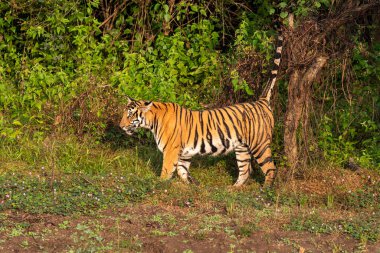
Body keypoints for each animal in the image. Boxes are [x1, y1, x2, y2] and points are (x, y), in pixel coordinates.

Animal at [119, 34, 282, 187]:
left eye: (130, 115)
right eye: (124, 114)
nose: (120, 126)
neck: (152, 121)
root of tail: (261, 101)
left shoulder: (171, 150)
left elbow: (166, 170)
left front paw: (159, 184)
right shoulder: (183, 153)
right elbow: (182, 170)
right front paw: (192, 184)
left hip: (259, 144)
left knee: (270, 167)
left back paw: (265, 190)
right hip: (242, 148)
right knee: (245, 169)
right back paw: (234, 188)